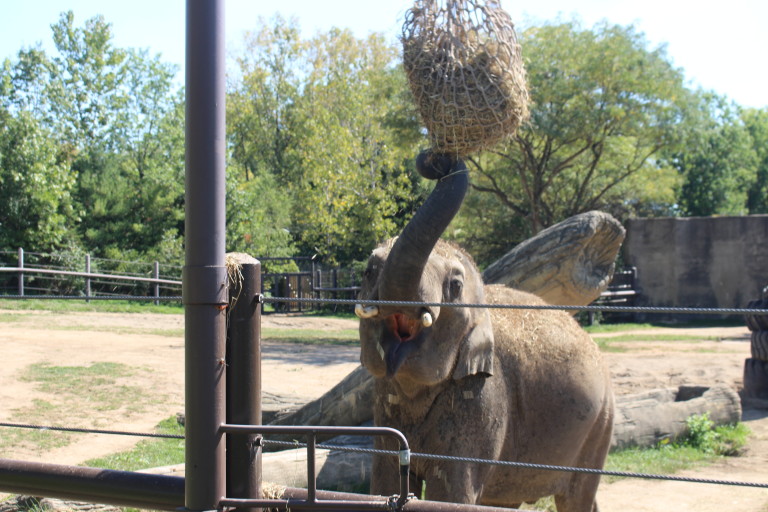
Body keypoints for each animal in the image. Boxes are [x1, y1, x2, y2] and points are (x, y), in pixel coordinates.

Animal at [356, 153, 616, 512]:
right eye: (369, 272)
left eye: (455, 286)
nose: (435, 161)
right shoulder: (384, 403)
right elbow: (384, 483)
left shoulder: (481, 395)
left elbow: (451, 494)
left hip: (599, 425)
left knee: (577, 495)